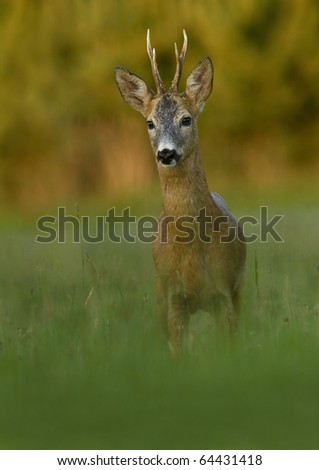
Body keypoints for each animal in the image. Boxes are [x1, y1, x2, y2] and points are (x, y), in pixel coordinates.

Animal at [115, 30, 248, 352]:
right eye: (150, 123)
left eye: (186, 119)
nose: (166, 153)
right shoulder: (172, 298)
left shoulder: (225, 291)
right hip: (158, 294)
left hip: (238, 290)